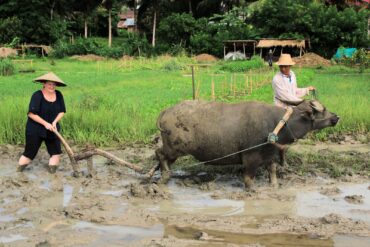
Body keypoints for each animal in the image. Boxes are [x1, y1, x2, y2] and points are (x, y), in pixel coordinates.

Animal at [155, 99, 340, 188]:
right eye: (322, 110)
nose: (336, 117)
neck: (277, 123)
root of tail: (165, 112)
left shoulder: (270, 154)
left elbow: (272, 170)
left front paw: (274, 185)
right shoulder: (251, 157)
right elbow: (248, 178)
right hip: (174, 148)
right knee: (159, 154)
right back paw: (164, 177)